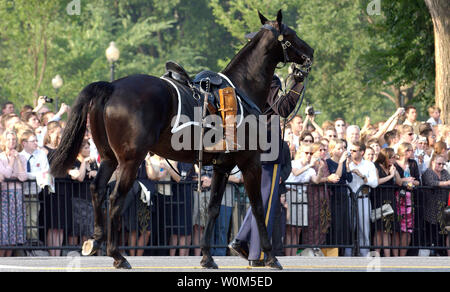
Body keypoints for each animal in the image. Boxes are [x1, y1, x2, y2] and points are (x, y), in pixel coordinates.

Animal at [50, 9, 312, 270]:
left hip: (109, 158)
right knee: (115, 199)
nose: (310, 53)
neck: (241, 90)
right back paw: (117, 254)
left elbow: (213, 208)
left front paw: (207, 256)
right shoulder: (250, 162)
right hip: (131, 161)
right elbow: (258, 207)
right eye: (291, 34)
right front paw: (270, 255)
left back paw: (96, 240)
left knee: (97, 189)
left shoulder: (222, 166)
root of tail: (112, 87)